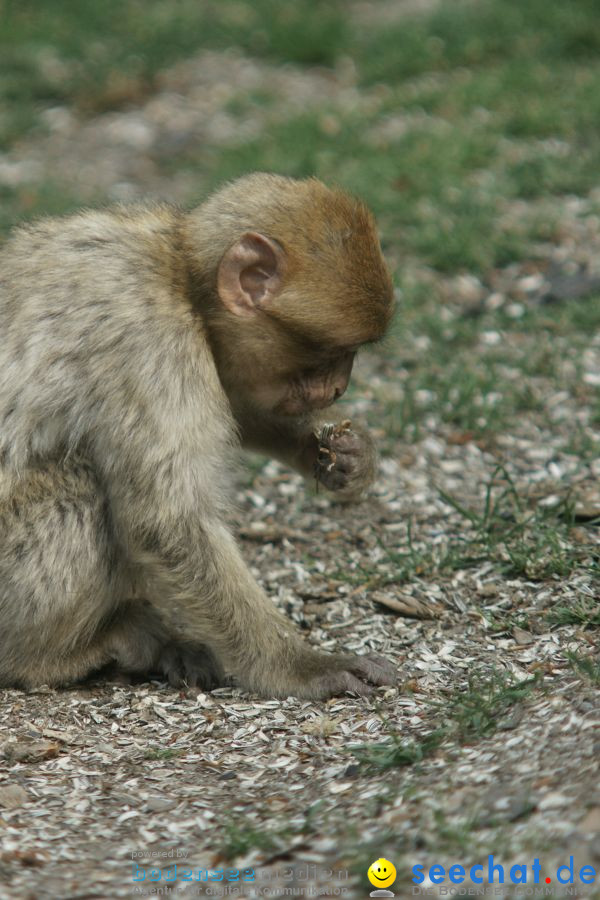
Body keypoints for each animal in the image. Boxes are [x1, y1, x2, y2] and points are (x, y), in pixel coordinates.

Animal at [0, 172, 394, 700]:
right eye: (332, 353)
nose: (338, 388)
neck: (179, 276)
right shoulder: (149, 342)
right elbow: (168, 523)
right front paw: (302, 665)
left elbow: (240, 404)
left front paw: (344, 454)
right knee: (81, 486)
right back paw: (55, 656)